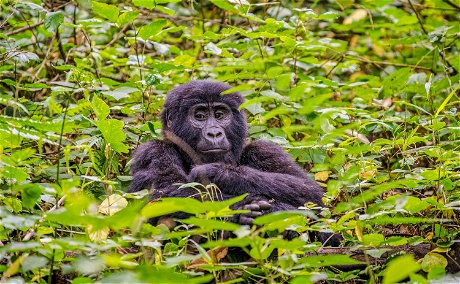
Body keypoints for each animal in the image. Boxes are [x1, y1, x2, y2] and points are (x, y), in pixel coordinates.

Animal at [129, 81, 338, 245]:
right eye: (199, 116)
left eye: (220, 114)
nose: (214, 133)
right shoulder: (154, 151)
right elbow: (161, 197)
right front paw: (240, 210)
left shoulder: (265, 150)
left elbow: (311, 195)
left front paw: (218, 172)